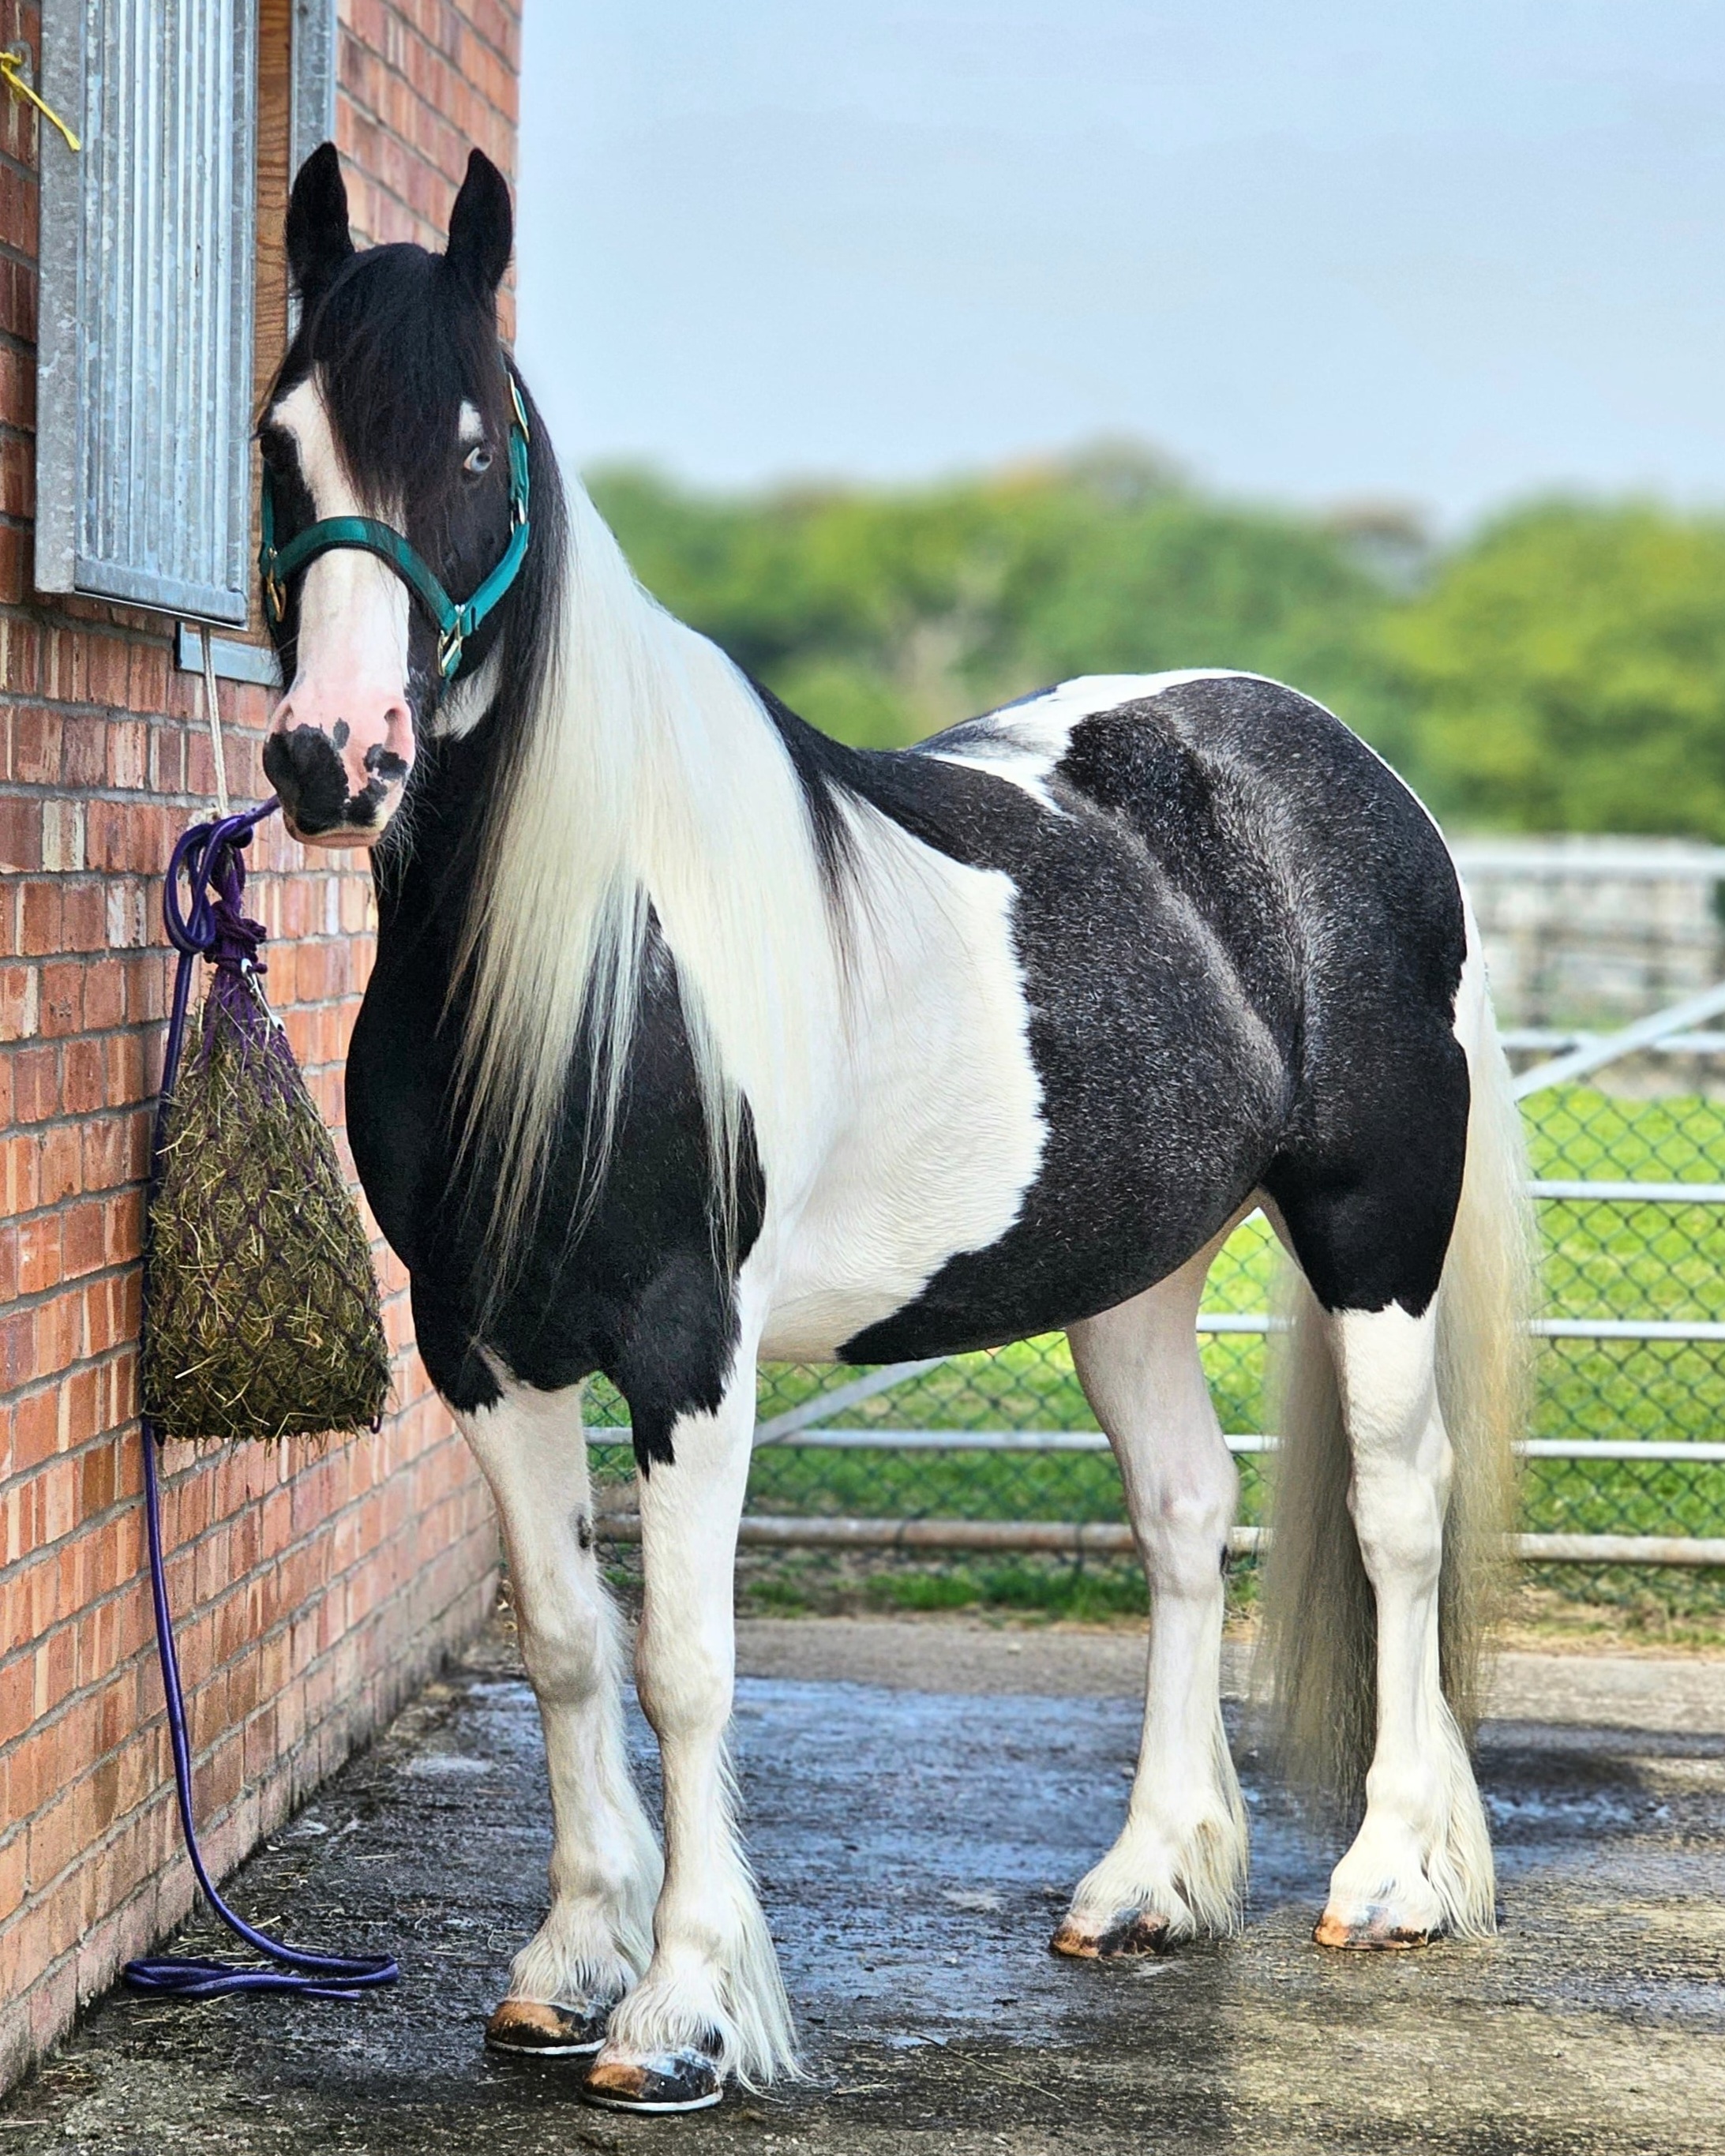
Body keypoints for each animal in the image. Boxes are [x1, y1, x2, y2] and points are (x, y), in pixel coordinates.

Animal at [252, 143, 1526, 2113]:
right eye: (281, 439)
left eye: (470, 444)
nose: (336, 758)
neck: (584, 952)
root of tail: (1352, 778)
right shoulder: (481, 1351)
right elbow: (565, 1645)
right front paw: (565, 1965)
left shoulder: (687, 1351)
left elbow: (689, 1664)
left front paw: (683, 2010)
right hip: (1131, 1272)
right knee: (1182, 1515)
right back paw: (1149, 1883)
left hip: (1370, 1233)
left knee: (1397, 1511)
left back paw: (1391, 1875)